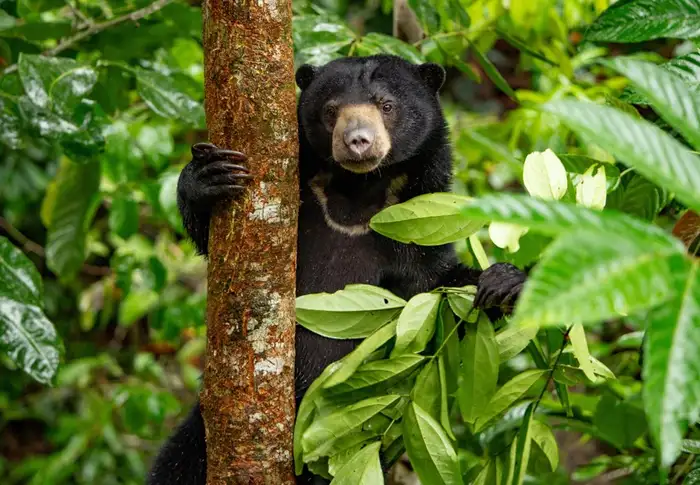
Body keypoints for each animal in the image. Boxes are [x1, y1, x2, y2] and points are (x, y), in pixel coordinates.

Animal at [147, 54, 526, 485]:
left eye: (386, 105)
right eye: (331, 110)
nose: (357, 141)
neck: (357, 193)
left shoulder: (413, 229)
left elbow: (437, 291)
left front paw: (504, 282)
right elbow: (211, 240)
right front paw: (209, 175)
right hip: (198, 436)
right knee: (175, 465)